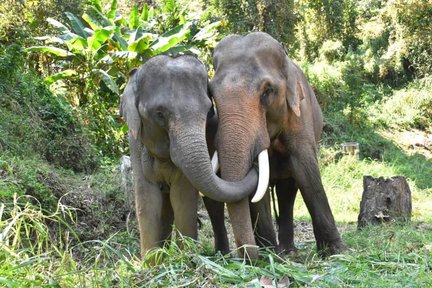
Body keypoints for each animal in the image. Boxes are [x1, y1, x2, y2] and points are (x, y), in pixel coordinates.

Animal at [120, 54, 258, 256]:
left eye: (208, 110)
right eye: (159, 114)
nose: (255, 163)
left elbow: (183, 197)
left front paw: (184, 257)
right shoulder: (135, 141)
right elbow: (146, 199)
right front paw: (152, 261)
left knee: (211, 202)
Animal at [209, 32, 348, 258]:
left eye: (267, 91)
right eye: (211, 93)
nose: (247, 257)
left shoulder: (299, 116)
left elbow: (306, 171)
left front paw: (337, 252)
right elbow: (259, 190)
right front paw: (269, 255)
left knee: (287, 191)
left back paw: (288, 250)